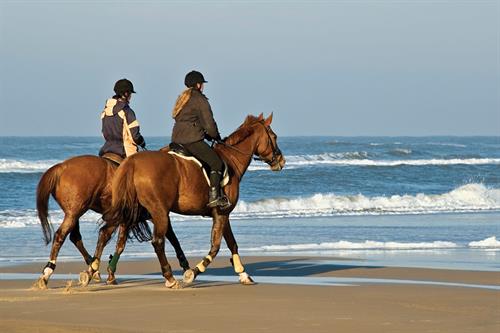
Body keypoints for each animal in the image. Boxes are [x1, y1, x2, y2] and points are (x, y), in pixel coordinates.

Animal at [33, 156, 189, 288]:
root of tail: (61, 167)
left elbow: (119, 243)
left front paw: (108, 273)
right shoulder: (156, 214)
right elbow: (171, 238)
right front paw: (185, 267)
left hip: (73, 213)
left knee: (74, 237)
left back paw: (92, 269)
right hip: (74, 212)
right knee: (61, 235)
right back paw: (48, 273)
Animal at [81, 113, 286, 286]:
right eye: (274, 136)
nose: (281, 161)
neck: (231, 159)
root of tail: (132, 162)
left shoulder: (222, 214)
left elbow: (232, 243)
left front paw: (243, 274)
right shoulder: (221, 213)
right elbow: (216, 246)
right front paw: (193, 272)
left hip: (131, 211)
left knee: (106, 234)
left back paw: (91, 271)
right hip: (157, 212)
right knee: (156, 242)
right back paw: (169, 278)